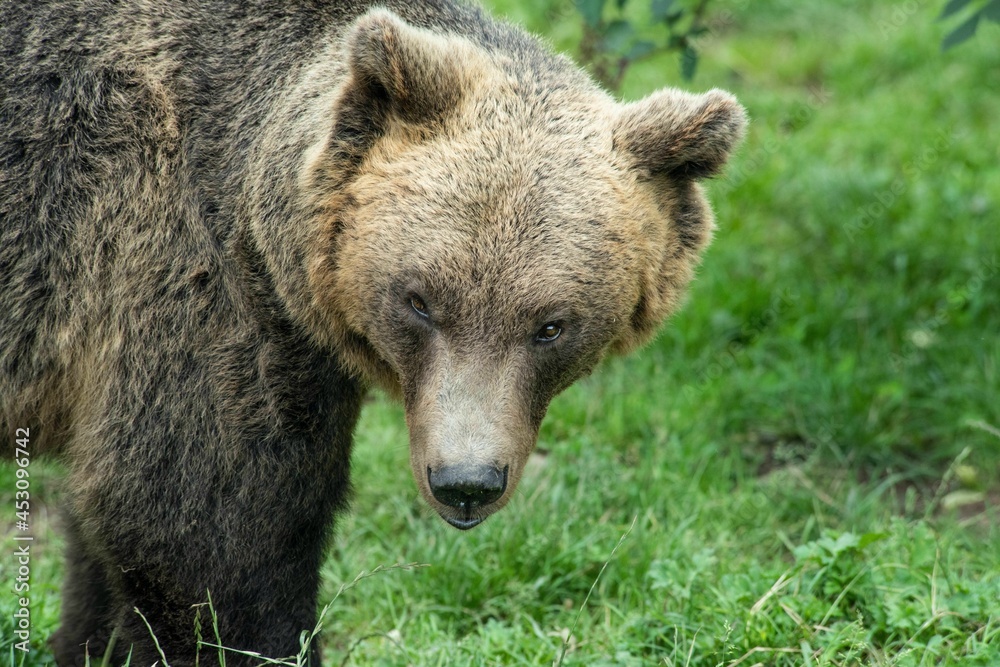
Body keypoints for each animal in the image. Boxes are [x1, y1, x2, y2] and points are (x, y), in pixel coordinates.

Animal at [0, 0, 748, 664]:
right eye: (419, 301)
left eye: (551, 325)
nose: (466, 482)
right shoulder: (188, 288)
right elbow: (205, 532)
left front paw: (91, 642)